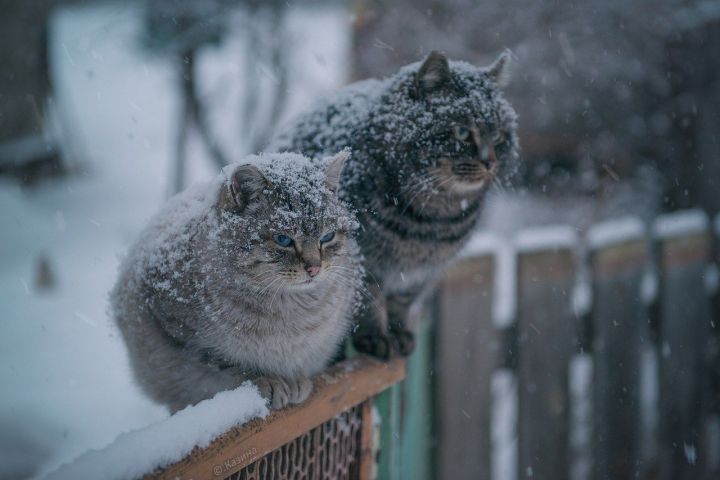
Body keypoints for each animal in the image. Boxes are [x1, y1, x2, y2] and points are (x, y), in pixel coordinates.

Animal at [272, 50, 520, 358]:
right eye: (462, 132)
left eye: (498, 135)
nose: (490, 162)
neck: (433, 219)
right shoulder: (363, 261)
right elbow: (369, 301)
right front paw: (376, 337)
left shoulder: (420, 273)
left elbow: (402, 302)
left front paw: (399, 333)